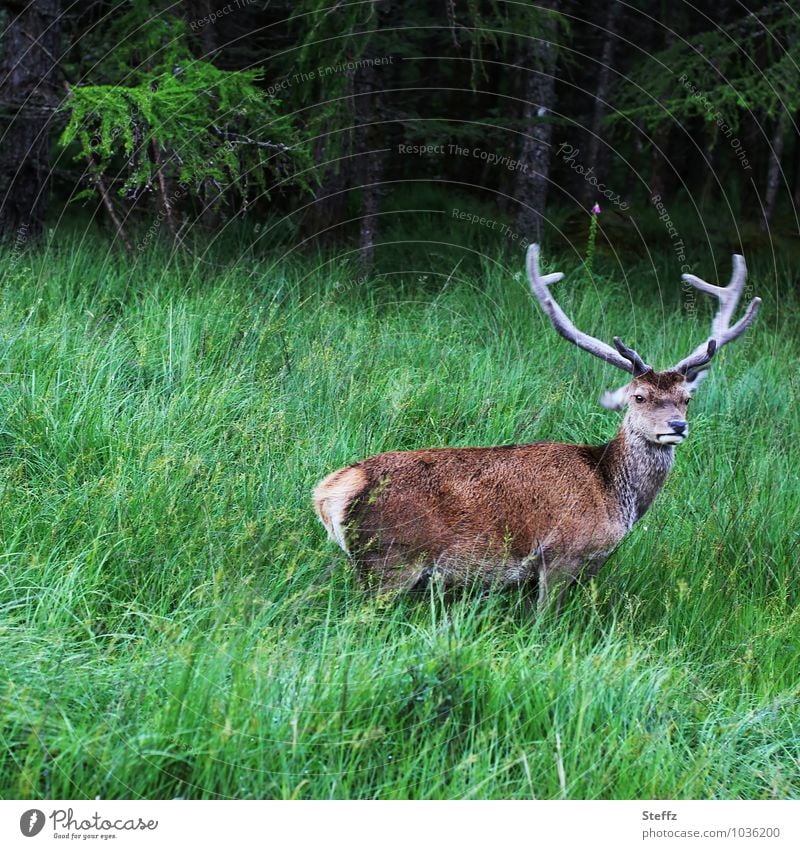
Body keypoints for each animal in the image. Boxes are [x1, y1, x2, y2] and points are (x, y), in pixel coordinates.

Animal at [312, 245, 764, 608]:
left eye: (687, 398)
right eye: (638, 396)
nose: (677, 425)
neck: (614, 496)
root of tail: (331, 490)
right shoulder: (562, 554)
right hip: (393, 558)